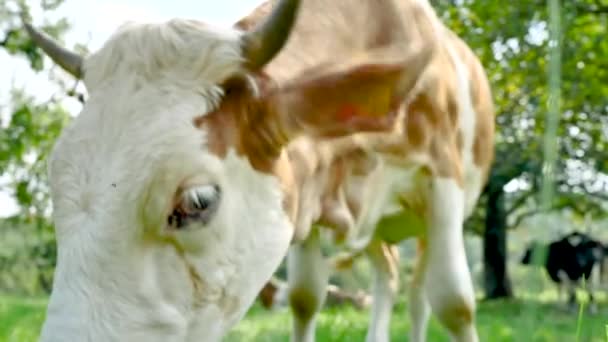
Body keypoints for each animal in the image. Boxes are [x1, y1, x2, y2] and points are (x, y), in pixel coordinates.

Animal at [238, 0, 494, 342]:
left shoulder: (442, 186)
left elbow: (455, 303)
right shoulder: (310, 196)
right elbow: (304, 297)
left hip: (424, 225)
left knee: (418, 296)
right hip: (377, 226)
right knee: (388, 277)